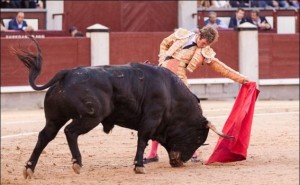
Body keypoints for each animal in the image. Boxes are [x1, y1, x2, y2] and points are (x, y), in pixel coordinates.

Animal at [12, 36, 231, 179]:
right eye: (198, 138)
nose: (180, 162)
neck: (171, 94)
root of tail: (66, 73)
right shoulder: (151, 118)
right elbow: (142, 140)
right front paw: (139, 166)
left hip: (54, 117)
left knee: (45, 136)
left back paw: (29, 168)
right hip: (91, 116)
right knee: (70, 132)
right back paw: (77, 163)